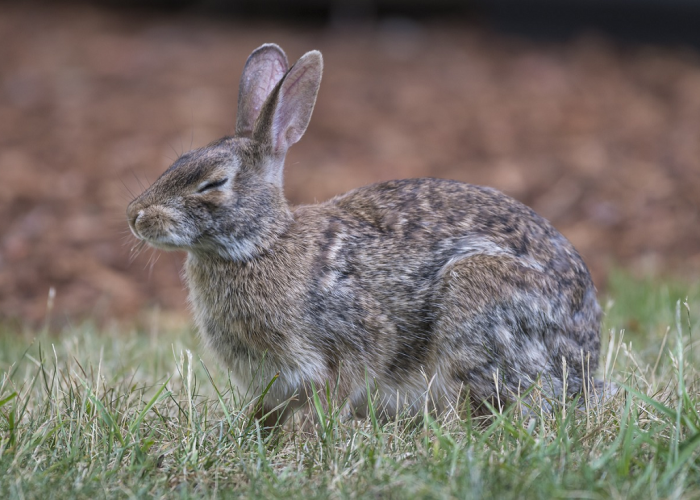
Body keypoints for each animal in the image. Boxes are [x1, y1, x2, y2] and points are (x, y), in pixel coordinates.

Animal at [129, 44, 604, 426]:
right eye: (180, 160)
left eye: (213, 184)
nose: (136, 215)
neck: (262, 244)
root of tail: (586, 357)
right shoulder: (278, 381)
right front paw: (253, 434)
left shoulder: (355, 340)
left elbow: (340, 389)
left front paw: (310, 439)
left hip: (477, 301)